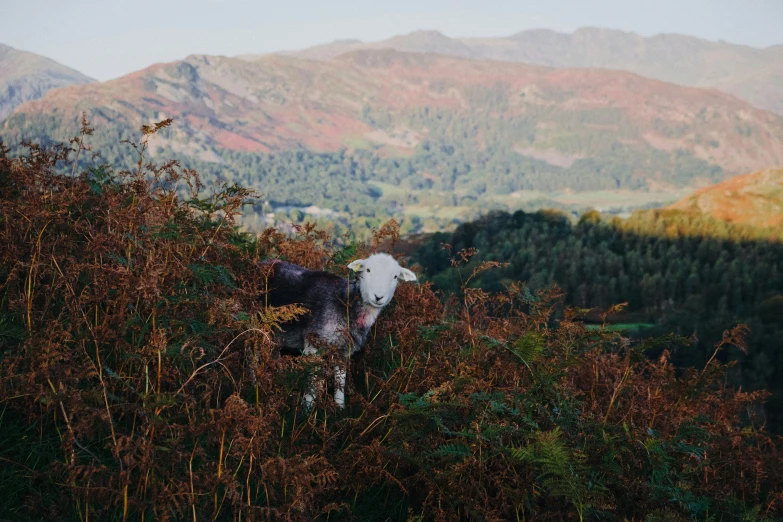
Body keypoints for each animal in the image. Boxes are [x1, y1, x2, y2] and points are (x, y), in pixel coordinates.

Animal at [260, 252, 416, 406]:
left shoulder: (343, 350)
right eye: (368, 270)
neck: (346, 304)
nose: (378, 297)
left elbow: (340, 382)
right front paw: (307, 408)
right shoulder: (314, 344)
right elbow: (312, 382)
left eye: (395, 276)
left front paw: (340, 408)